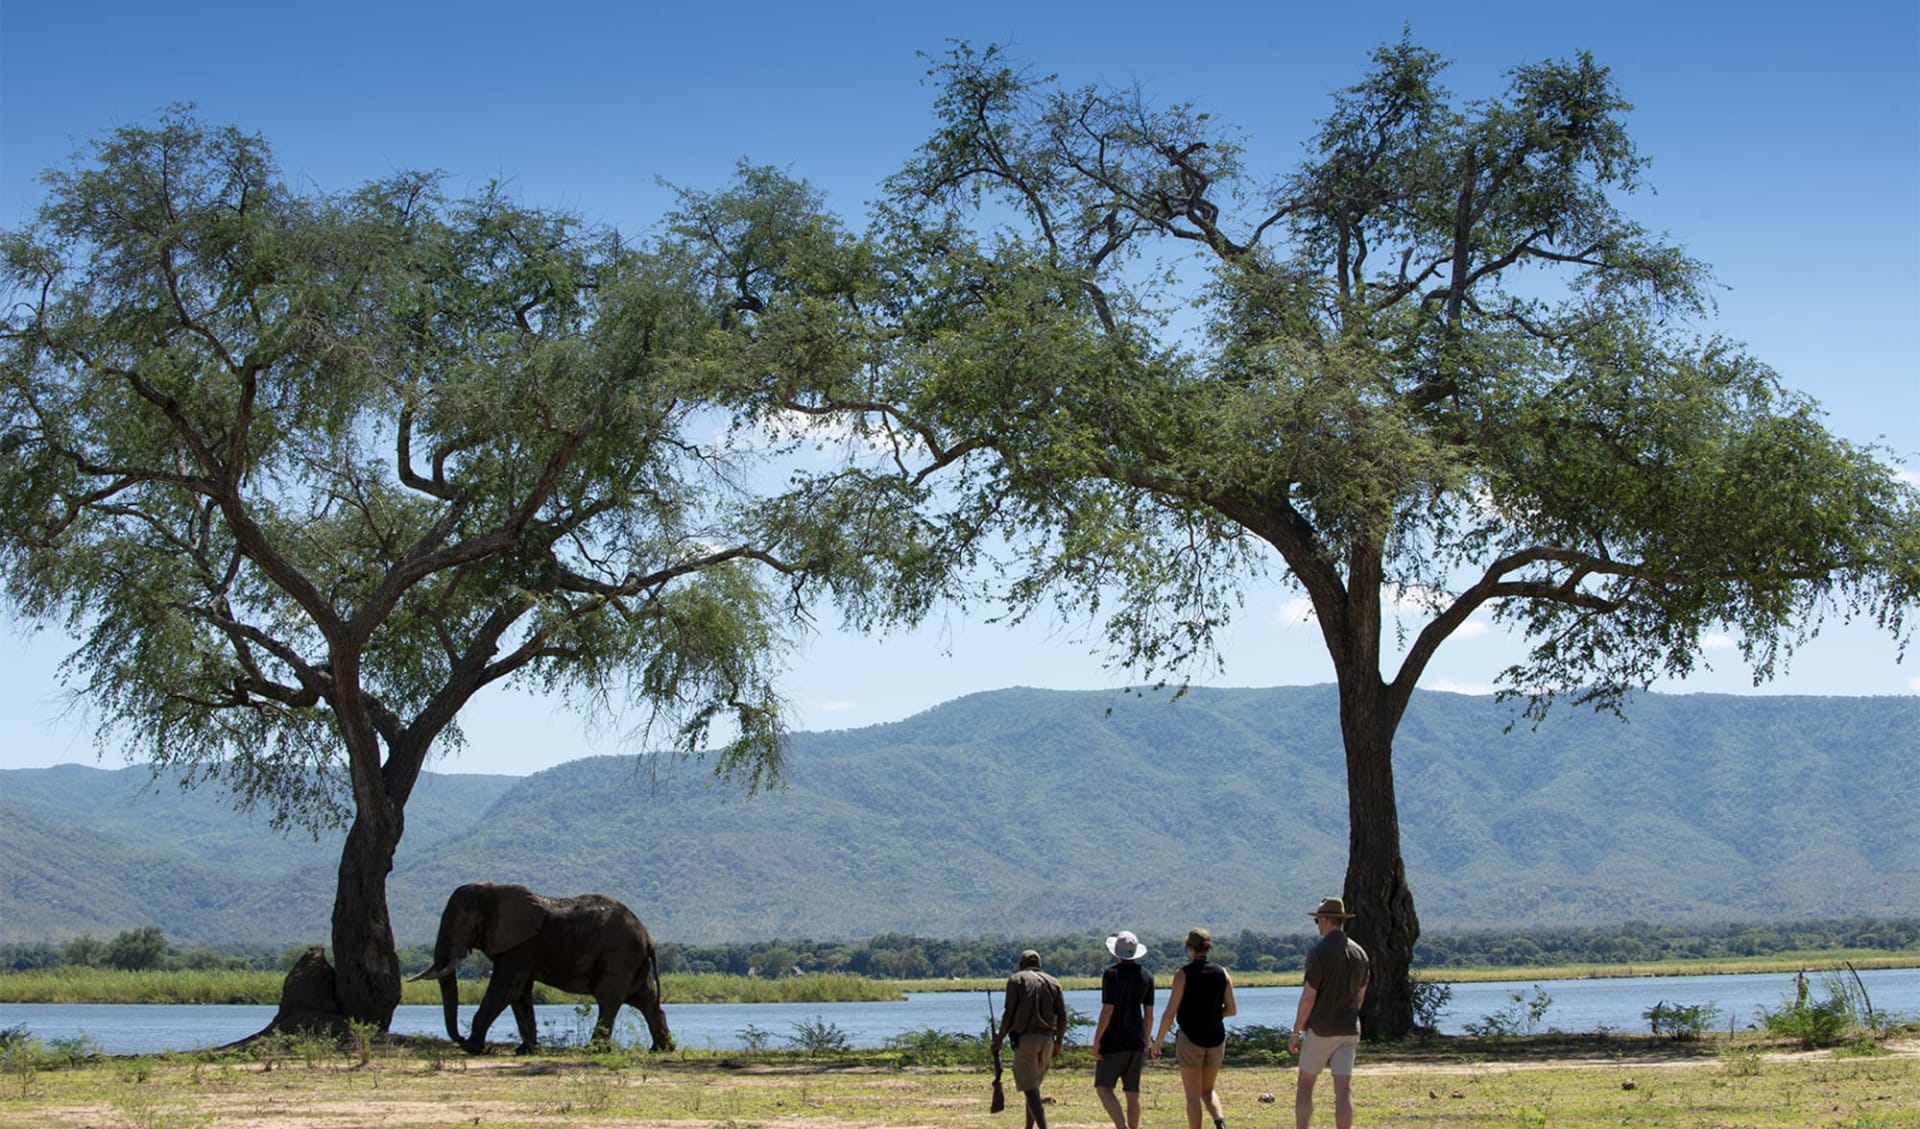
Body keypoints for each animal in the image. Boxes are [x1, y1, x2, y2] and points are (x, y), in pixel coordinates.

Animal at [412, 883, 675, 1052]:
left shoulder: (521, 947)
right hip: (632, 959)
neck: (493, 890)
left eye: (462, 923)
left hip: (619, 954)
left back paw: (594, 1050)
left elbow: (504, 989)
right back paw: (661, 1049)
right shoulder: (521, 950)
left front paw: (471, 1048)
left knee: (608, 1000)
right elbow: (519, 993)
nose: (460, 1038)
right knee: (645, 999)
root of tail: (648, 937)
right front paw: (526, 1051)